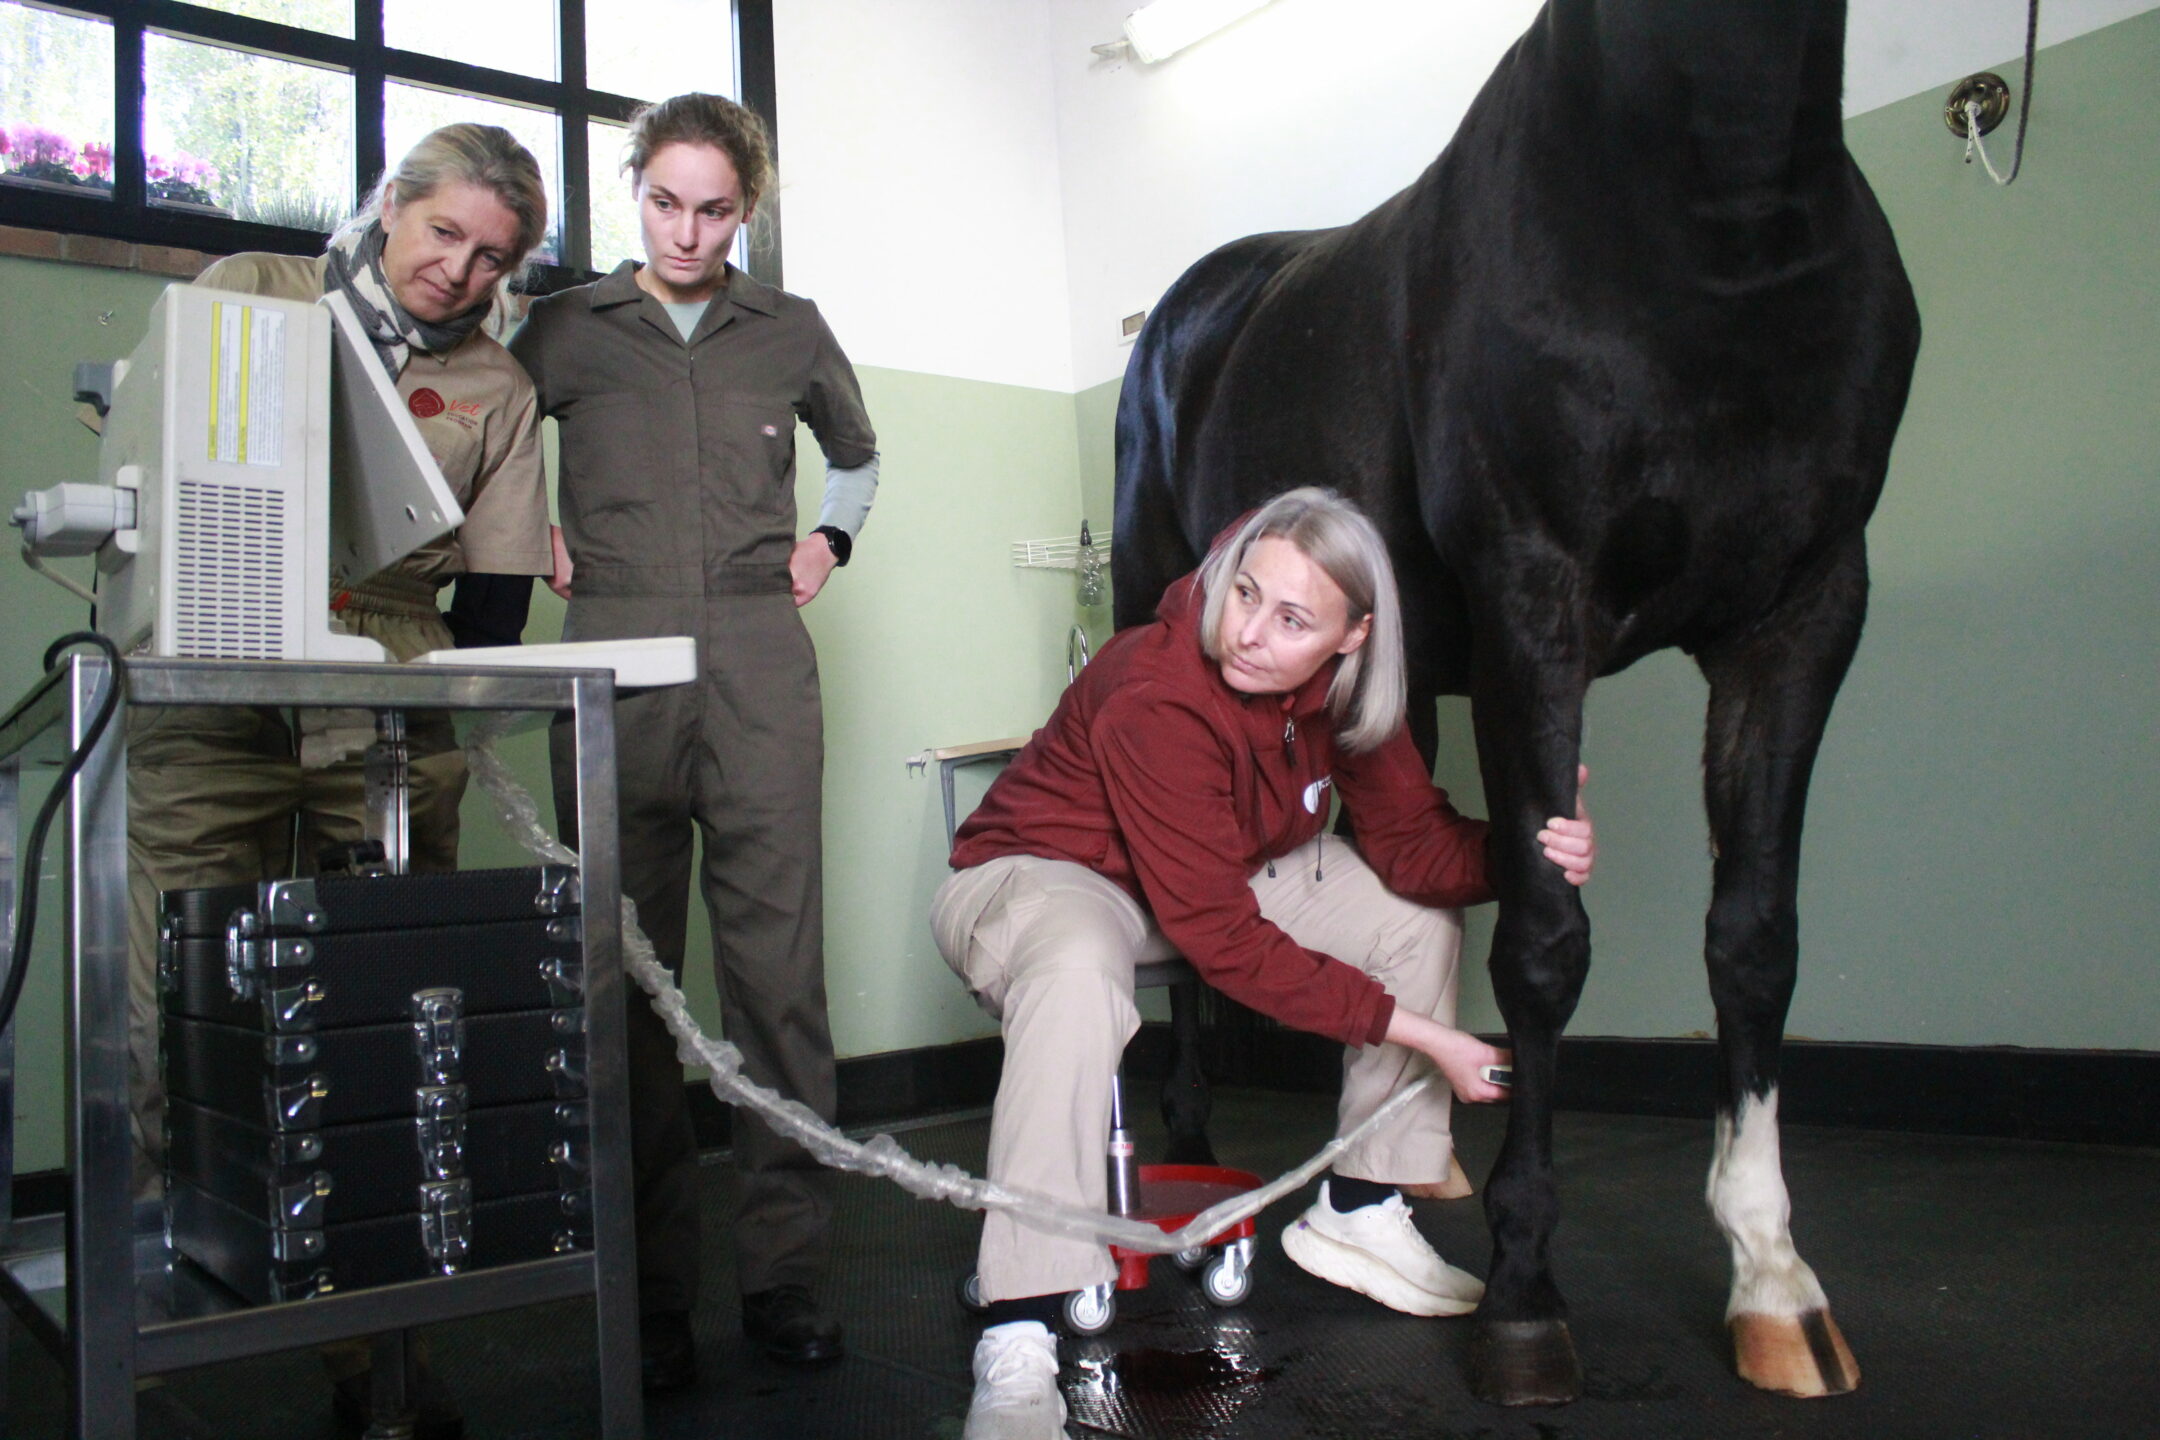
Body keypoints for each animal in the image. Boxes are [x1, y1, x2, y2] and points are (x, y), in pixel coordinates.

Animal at [1111, 0, 1920, 1406]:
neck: (1724, 220)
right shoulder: (1533, 610)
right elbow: (1546, 945)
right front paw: (1526, 1294)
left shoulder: (1804, 621)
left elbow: (1755, 941)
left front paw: (1772, 1276)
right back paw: (1200, 1138)